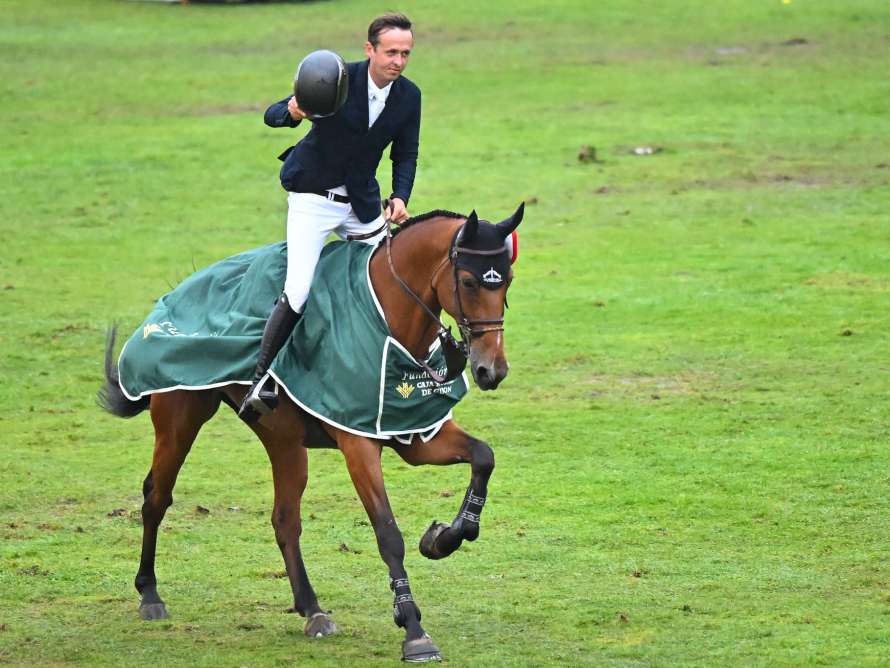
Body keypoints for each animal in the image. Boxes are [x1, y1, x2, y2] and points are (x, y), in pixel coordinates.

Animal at [97, 205, 524, 664]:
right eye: (469, 282)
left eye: (507, 281)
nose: (491, 370)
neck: (388, 319)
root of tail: (175, 296)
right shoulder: (359, 444)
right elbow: (388, 534)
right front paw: (413, 630)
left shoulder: (415, 432)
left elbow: (483, 456)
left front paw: (444, 537)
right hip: (180, 420)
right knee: (156, 497)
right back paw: (149, 595)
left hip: (282, 441)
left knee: (285, 519)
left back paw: (312, 609)